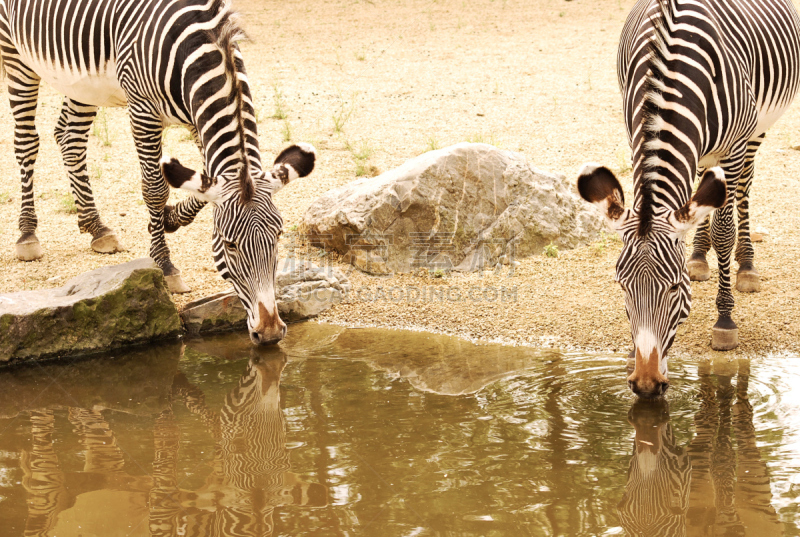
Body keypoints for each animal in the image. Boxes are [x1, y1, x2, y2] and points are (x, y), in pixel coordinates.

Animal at [0, 0, 316, 344]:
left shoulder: (196, 115)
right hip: (15, 56)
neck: (202, 39)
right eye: (230, 244)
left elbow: (200, 179)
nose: (269, 332)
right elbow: (155, 187)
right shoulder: (143, 112)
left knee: (69, 137)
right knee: (27, 141)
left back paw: (96, 226)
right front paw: (164, 263)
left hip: (82, 81)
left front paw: (169, 218)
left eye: (278, 236)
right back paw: (27, 233)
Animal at [580, 0, 800, 394]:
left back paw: (746, 264)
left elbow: (724, 231)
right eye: (622, 287)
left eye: (674, 287)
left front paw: (725, 320)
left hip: (756, 131)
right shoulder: (635, 132)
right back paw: (698, 255)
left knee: (743, 188)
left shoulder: (735, 147)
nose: (646, 384)